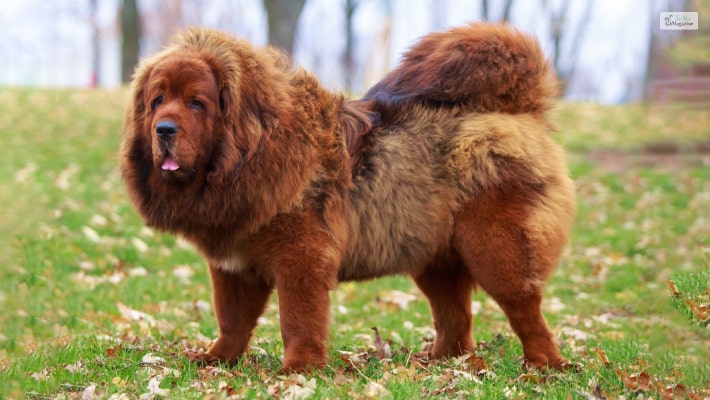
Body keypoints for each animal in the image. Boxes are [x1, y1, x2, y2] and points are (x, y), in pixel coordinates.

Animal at [121, 22, 580, 372]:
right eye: (158, 100)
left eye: (196, 103)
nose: (164, 129)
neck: (250, 155)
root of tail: (519, 111)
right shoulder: (233, 265)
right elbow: (232, 320)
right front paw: (216, 360)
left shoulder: (301, 258)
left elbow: (297, 318)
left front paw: (299, 369)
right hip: (434, 257)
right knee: (456, 319)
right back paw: (439, 362)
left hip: (495, 249)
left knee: (524, 309)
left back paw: (544, 366)